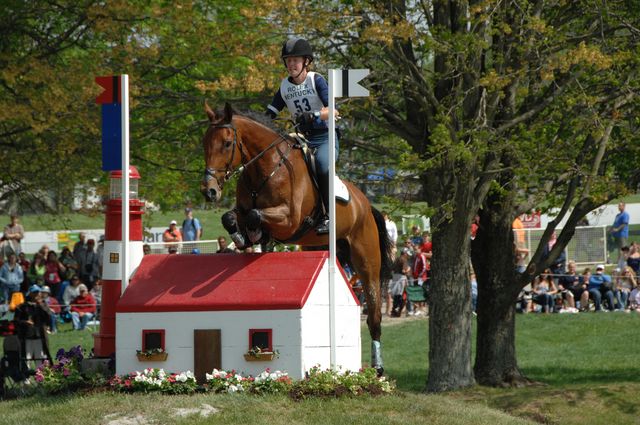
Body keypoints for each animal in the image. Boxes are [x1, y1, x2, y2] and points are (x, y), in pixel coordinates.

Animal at [201, 102, 396, 374]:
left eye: (227, 143)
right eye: (204, 142)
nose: (209, 191)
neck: (266, 169)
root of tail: (365, 204)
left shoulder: (289, 220)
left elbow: (254, 215)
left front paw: (254, 234)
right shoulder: (243, 210)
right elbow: (230, 217)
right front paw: (245, 238)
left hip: (366, 260)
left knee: (374, 313)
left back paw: (377, 367)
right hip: (322, 248)